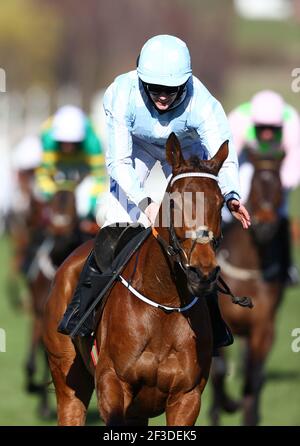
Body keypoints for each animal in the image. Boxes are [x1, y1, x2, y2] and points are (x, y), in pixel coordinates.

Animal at [42, 134, 229, 426]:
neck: (164, 301)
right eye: (173, 202)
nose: (203, 273)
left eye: (221, 203)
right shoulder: (112, 385)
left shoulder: (187, 397)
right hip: (67, 376)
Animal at [211, 152, 286, 426]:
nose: (264, 227)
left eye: (279, 187)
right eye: (254, 185)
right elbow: (219, 369)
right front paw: (228, 404)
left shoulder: (263, 327)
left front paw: (248, 410)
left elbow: (254, 374)